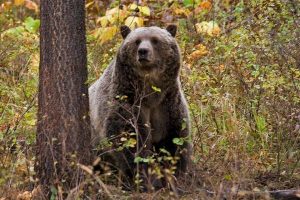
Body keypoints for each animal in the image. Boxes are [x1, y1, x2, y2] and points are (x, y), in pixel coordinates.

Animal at [89, 24, 192, 189]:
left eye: (155, 40)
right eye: (137, 41)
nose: (143, 51)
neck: (150, 93)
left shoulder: (167, 105)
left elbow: (174, 139)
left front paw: (173, 176)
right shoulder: (127, 101)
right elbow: (130, 141)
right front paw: (143, 179)